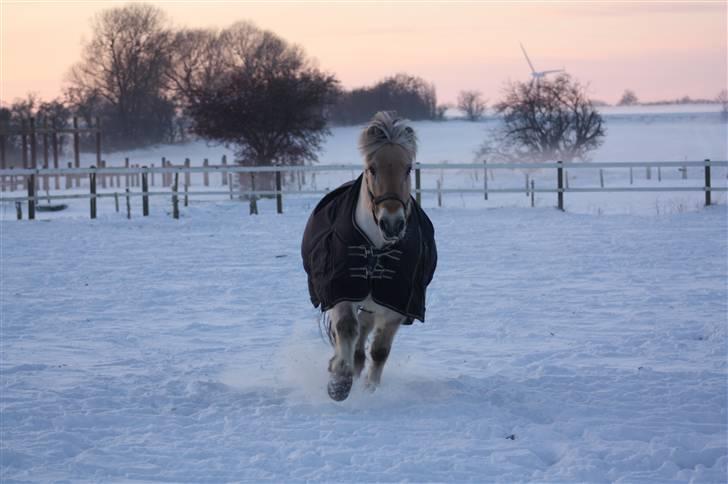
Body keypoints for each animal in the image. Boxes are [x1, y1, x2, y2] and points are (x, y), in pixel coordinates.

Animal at [302, 110, 438, 400]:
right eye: (372, 168)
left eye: (408, 168)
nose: (392, 223)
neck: (376, 248)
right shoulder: (341, 291)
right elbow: (346, 330)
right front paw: (339, 382)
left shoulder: (396, 305)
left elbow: (379, 352)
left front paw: (370, 389)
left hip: (371, 307)